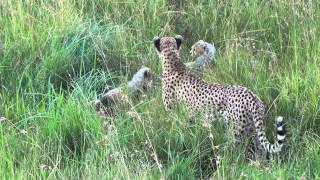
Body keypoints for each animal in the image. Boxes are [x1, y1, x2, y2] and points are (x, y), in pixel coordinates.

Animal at [152, 34, 284, 155]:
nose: (190, 51)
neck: (173, 62)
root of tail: (250, 95)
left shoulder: (173, 112)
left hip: (236, 132)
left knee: (238, 152)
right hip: (253, 129)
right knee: (259, 150)